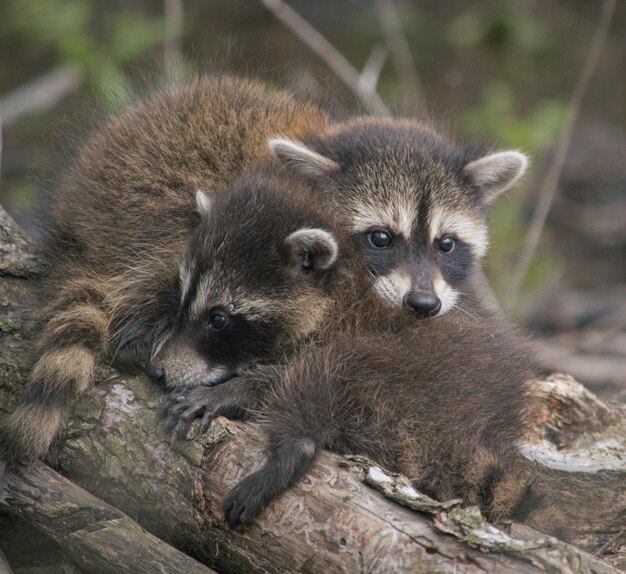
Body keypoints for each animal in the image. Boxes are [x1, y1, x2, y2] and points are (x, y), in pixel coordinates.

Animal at [161, 168, 540, 536]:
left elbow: (281, 377)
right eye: (181, 296)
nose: (157, 369)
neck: (334, 294)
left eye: (219, 319)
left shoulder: (340, 332)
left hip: (414, 379)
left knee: (327, 375)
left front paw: (232, 390)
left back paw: (293, 449)